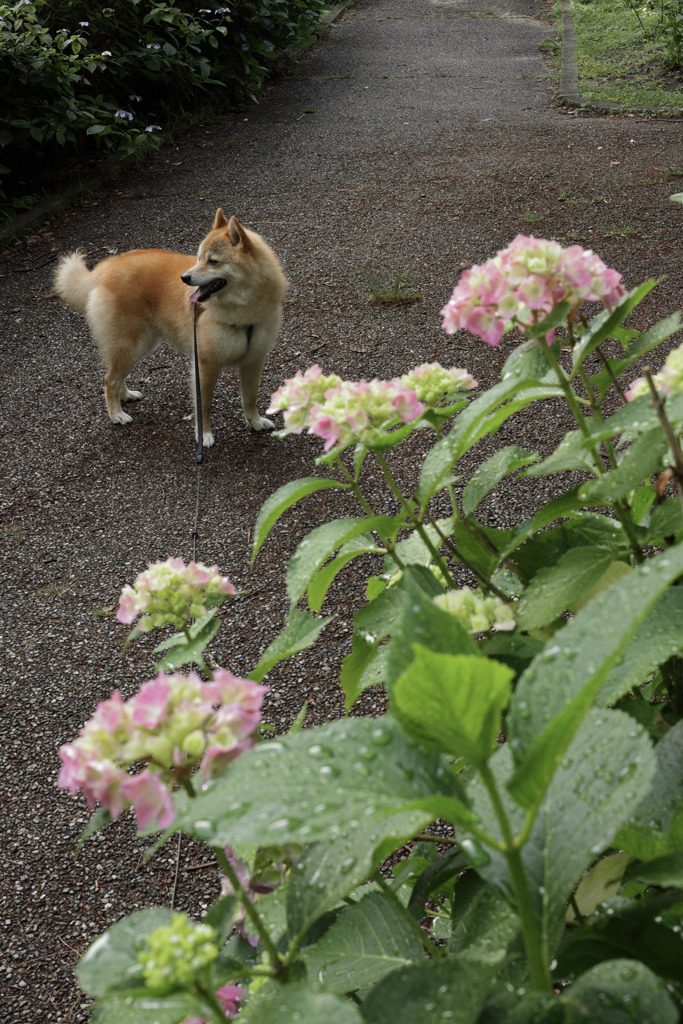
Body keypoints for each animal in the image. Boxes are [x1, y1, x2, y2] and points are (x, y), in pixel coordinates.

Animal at [54, 209, 288, 446]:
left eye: (212, 261)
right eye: (199, 257)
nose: (184, 277)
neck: (243, 310)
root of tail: (105, 267)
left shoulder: (253, 361)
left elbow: (250, 398)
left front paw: (255, 422)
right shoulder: (205, 365)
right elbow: (204, 406)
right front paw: (204, 434)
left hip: (140, 345)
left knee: (116, 376)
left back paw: (125, 395)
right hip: (130, 344)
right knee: (109, 380)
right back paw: (116, 413)